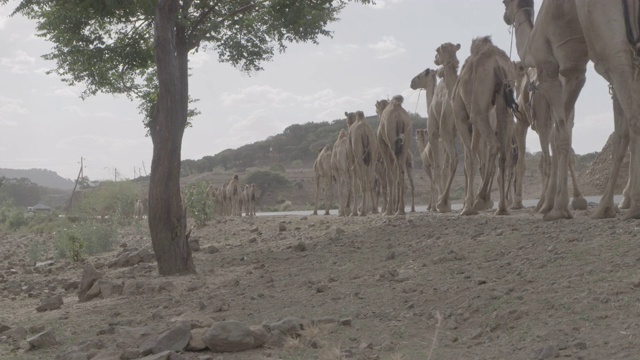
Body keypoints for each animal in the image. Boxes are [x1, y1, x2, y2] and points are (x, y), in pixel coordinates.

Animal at [452, 35, 516, 217]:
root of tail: (497, 63)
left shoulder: (461, 117)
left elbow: (469, 158)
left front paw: (467, 207)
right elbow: (474, 154)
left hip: (478, 110)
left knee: (494, 145)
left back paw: (481, 199)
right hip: (503, 105)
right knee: (504, 153)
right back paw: (501, 208)